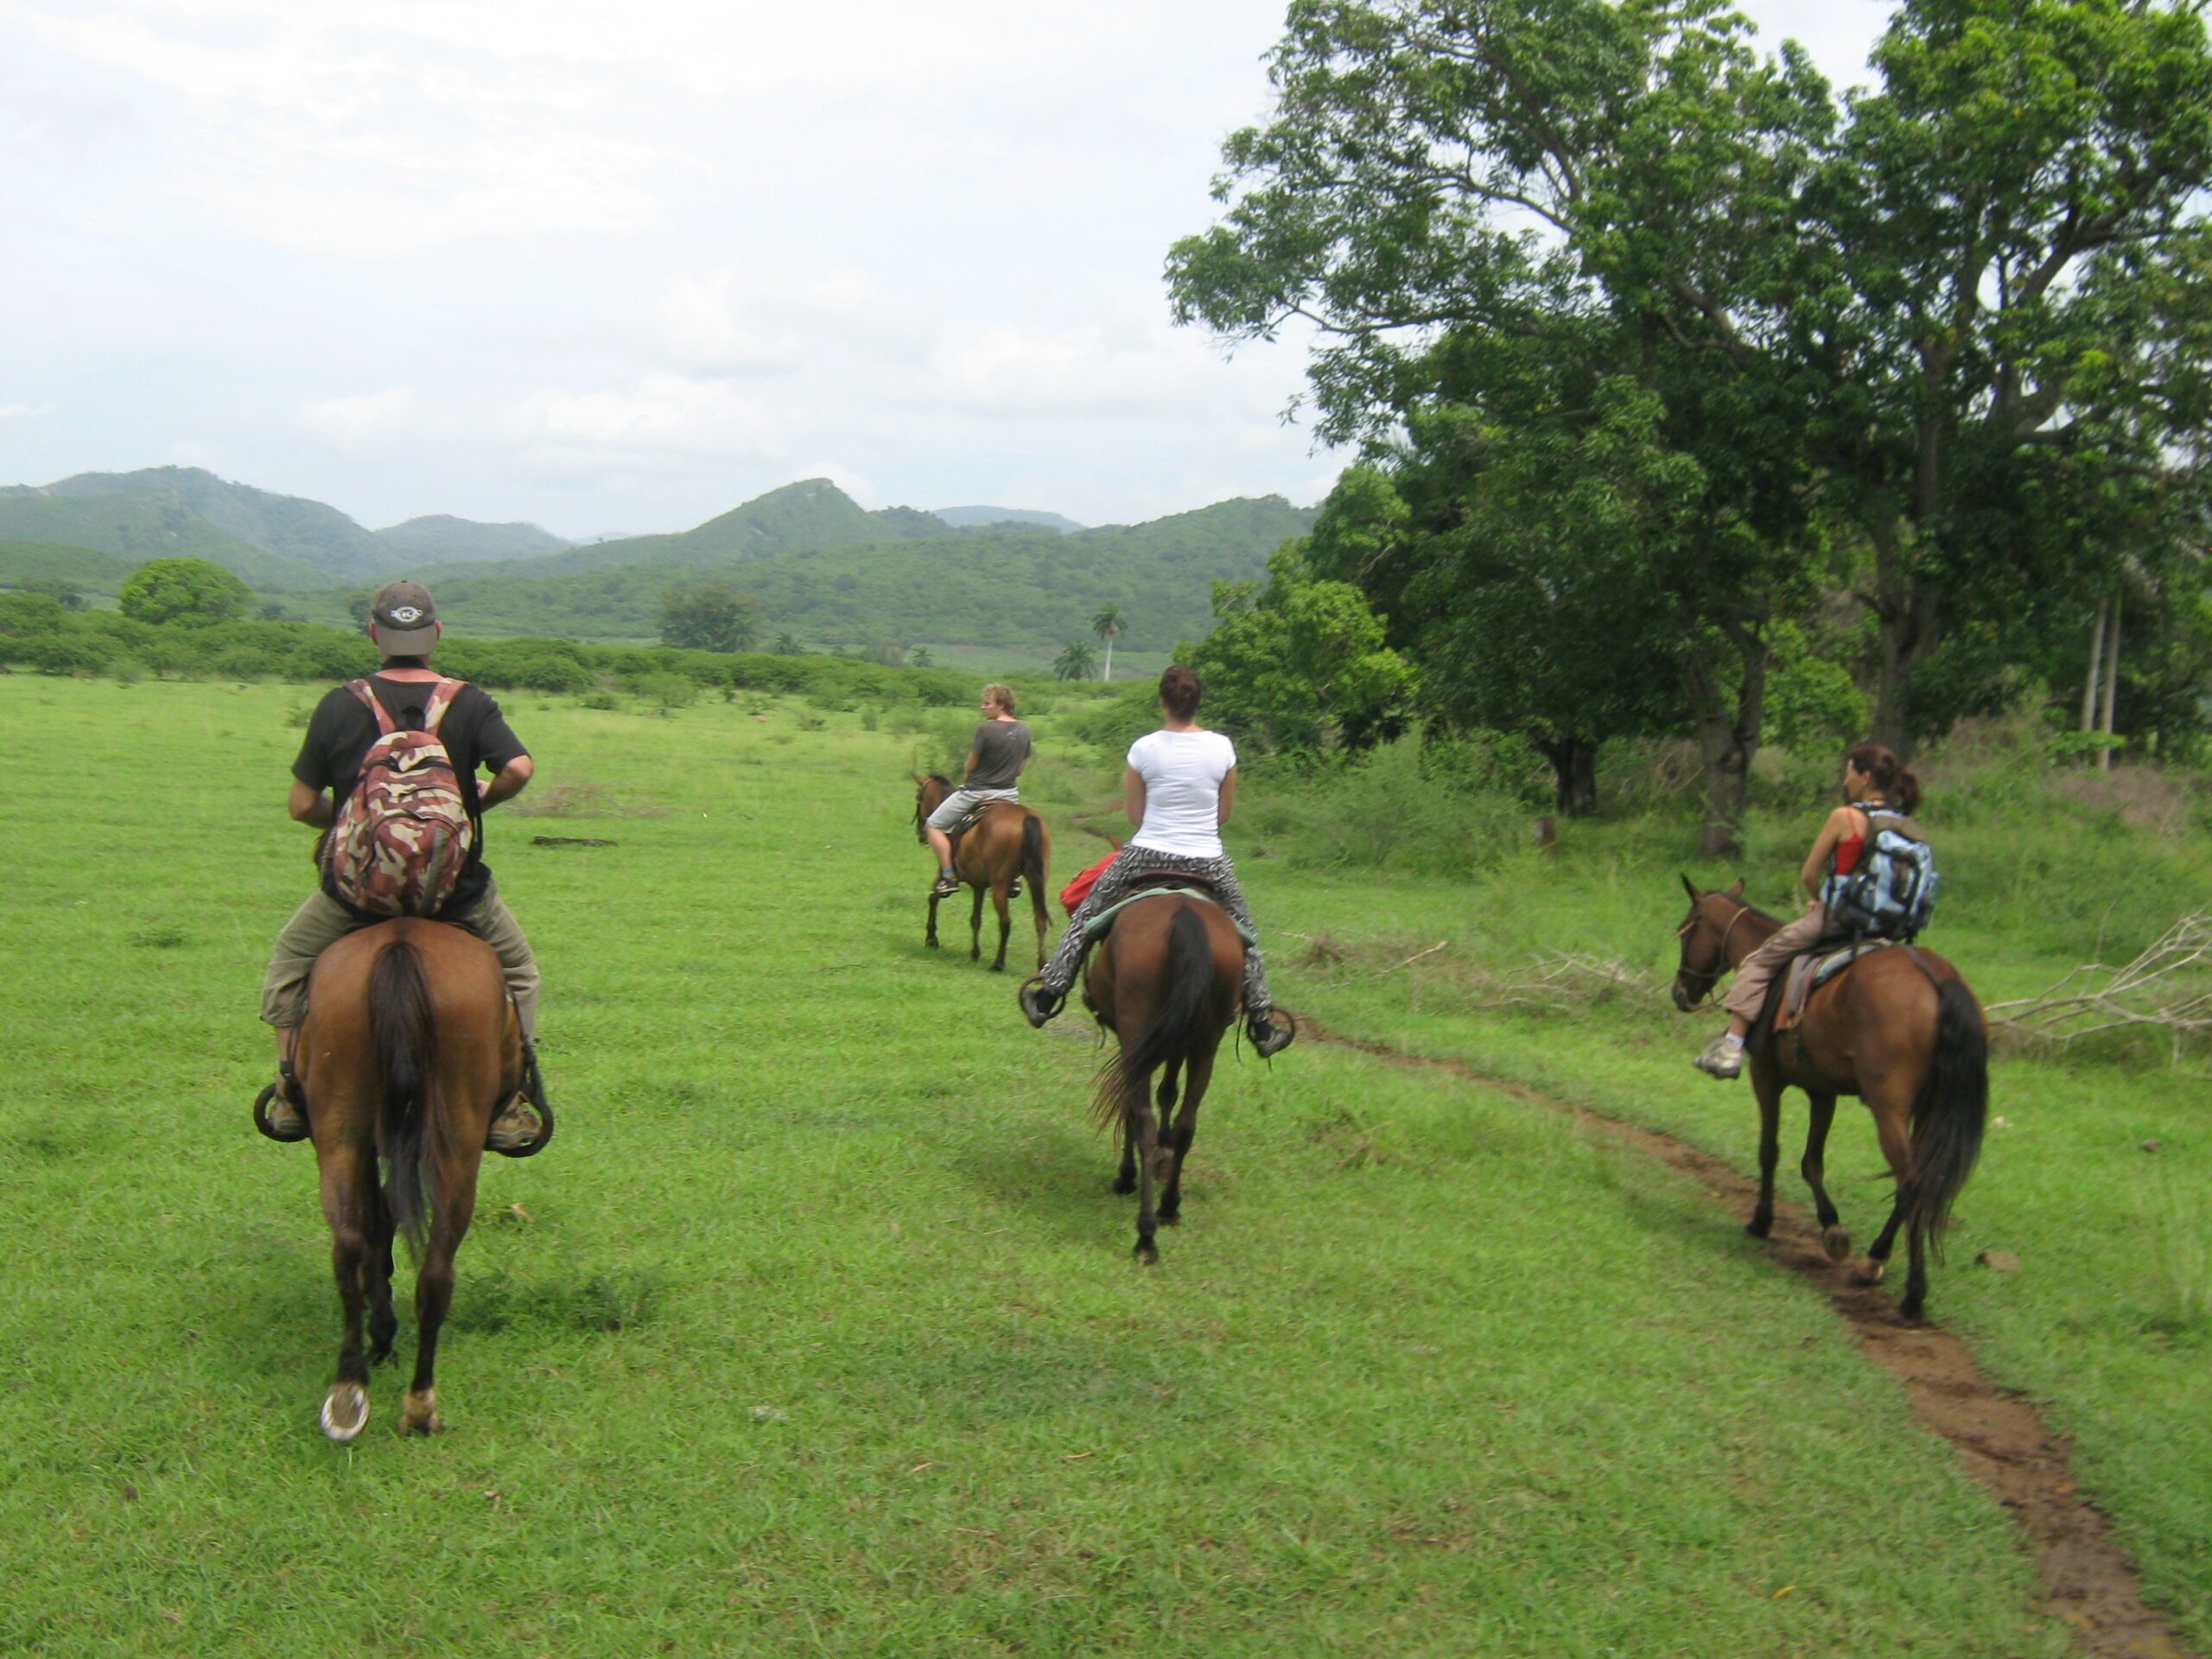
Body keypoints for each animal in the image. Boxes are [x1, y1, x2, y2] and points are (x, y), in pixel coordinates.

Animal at [294, 925, 522, 1442]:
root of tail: (401, 940)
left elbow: (379, 1223)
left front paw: (382, 1330)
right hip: (450, 1139)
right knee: (428, 1266)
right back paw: (408, 1398)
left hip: (345, 1130)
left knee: (356, 1246)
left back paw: (358, 1387)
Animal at [915, 779, 1052, 973]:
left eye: (918, 797)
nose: (921, 832)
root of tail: (1027, 818)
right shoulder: (978, 885)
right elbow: (976, 919)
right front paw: (975, 953)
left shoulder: (947, 875)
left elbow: (933, 898)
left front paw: (931, 938)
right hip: (1039, 881)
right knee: (1040, 919)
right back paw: (1042, 964)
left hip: (999, 884)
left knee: (1005, 921)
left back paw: (998, 963)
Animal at [1084, 898, 1247, 1256]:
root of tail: (1183, 910)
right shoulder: (1175, 1041)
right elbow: (1168, 1092)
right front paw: (1164, 1152)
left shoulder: (1134, 1043)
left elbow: (1130, 1107)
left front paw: (1127, 1176)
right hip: (1205, 1041)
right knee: (1188, 1123)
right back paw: (1170, 1206)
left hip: (1138, 1026)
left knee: (1143, 1118)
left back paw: (1146, 1235)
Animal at [1663, 885, 1999, 1327]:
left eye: (1686, 933)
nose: (1680, 993)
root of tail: (1939, 979)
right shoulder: (1821, 1092)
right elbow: (1811, 1162)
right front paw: (1832, 1229)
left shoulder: (1766, 1077)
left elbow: (1770, 1151)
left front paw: (1762, 1220)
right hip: (1928, 1110)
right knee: (1920, 1181)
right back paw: (1873, 1261)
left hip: (1888, 1108)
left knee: (1911, 1183)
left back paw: (1912, 1294)